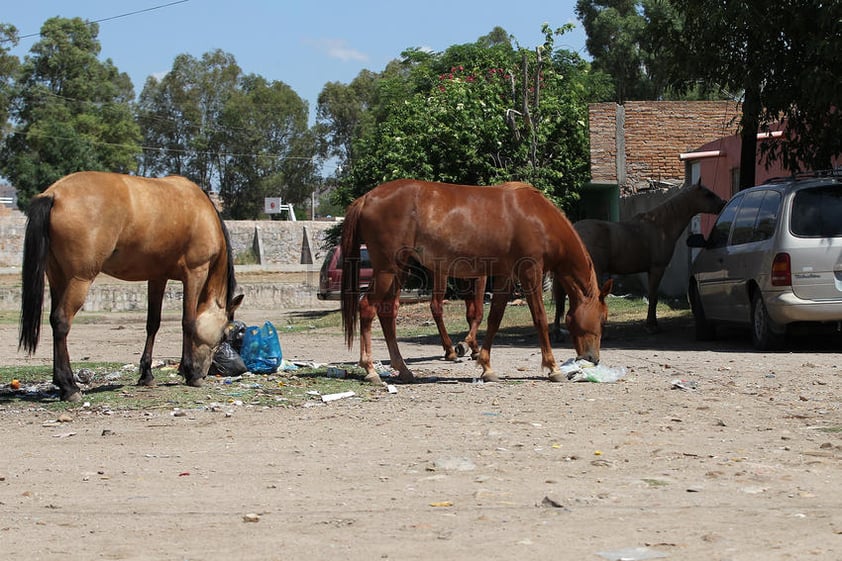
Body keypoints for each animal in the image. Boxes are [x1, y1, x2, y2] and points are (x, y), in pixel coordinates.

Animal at [18, 173, 243, 400]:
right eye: (224, 335)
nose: (204, 372)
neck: (202, 211)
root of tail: (54, 194)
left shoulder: (157, 278)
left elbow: (153, 323)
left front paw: (147, 375)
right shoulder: (195, 273)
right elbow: (188, 322)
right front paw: (189, 373)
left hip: (57, 278)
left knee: (54, 321)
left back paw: (61, 382)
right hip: (78, 280)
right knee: (62, 322)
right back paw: (69, 387)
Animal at [342, 179, 612, 384]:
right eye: (602, 319)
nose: (594, 358)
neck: (536, 216)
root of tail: (367, 198)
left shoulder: (506, 276)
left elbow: (494, 318)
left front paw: (486, 365)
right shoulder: (530, 272)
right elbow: (539, 318)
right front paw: (553, 368)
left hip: (399, 271)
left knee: (388, 314)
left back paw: (404, 370)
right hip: (387, 271)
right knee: (367, 308)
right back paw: (371, 370)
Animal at [552, 182, 720, 334]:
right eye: (708, 194)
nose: (723, 203)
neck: (660, 226)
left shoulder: (651, 270)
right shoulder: (657, 269)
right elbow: (653, 297)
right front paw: (652, 326)